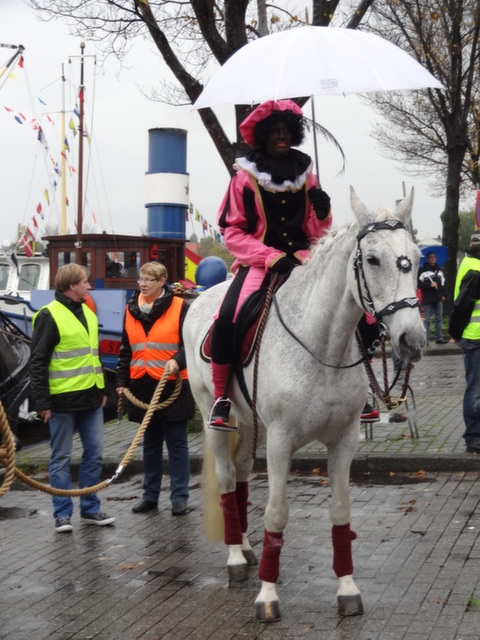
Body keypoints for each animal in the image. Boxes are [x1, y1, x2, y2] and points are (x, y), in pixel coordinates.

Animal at [183, 188, 424, 624]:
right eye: (371, 259)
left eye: (414, 257)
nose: (411, 340)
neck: (322, 344)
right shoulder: (281, 442)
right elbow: (276, 513)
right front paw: (267, 595)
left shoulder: (344, 440)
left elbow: (341, 511)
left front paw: (347, 589)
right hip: (214, 416)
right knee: (226, 477)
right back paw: (235, 557)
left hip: (252, 423)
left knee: (241, 474)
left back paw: (245, 546)